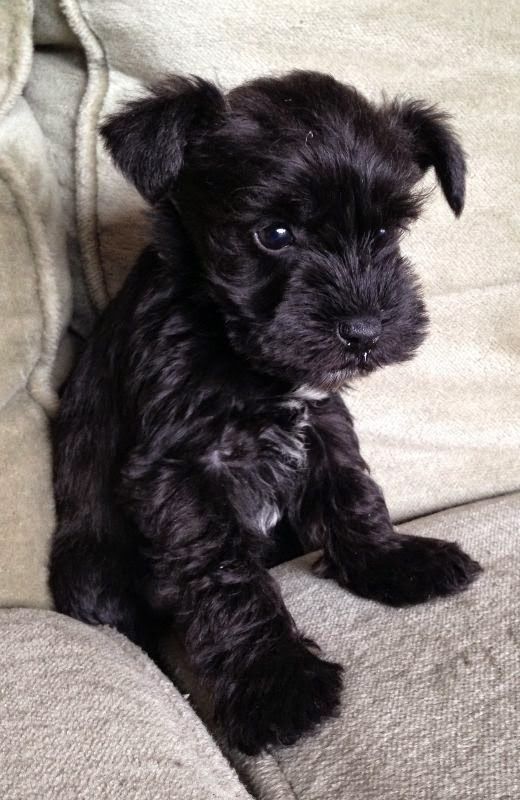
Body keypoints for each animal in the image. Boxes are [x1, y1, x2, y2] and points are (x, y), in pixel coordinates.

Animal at [50, 72, 482, 752]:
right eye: (273, 234)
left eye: (385, 234)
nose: (364, 332)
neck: (238, 351)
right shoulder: (182, 469)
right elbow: (225, 573)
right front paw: (275, 680)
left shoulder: (323, 424)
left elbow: (354, 495)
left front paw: (392, 562)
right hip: (93, 571)